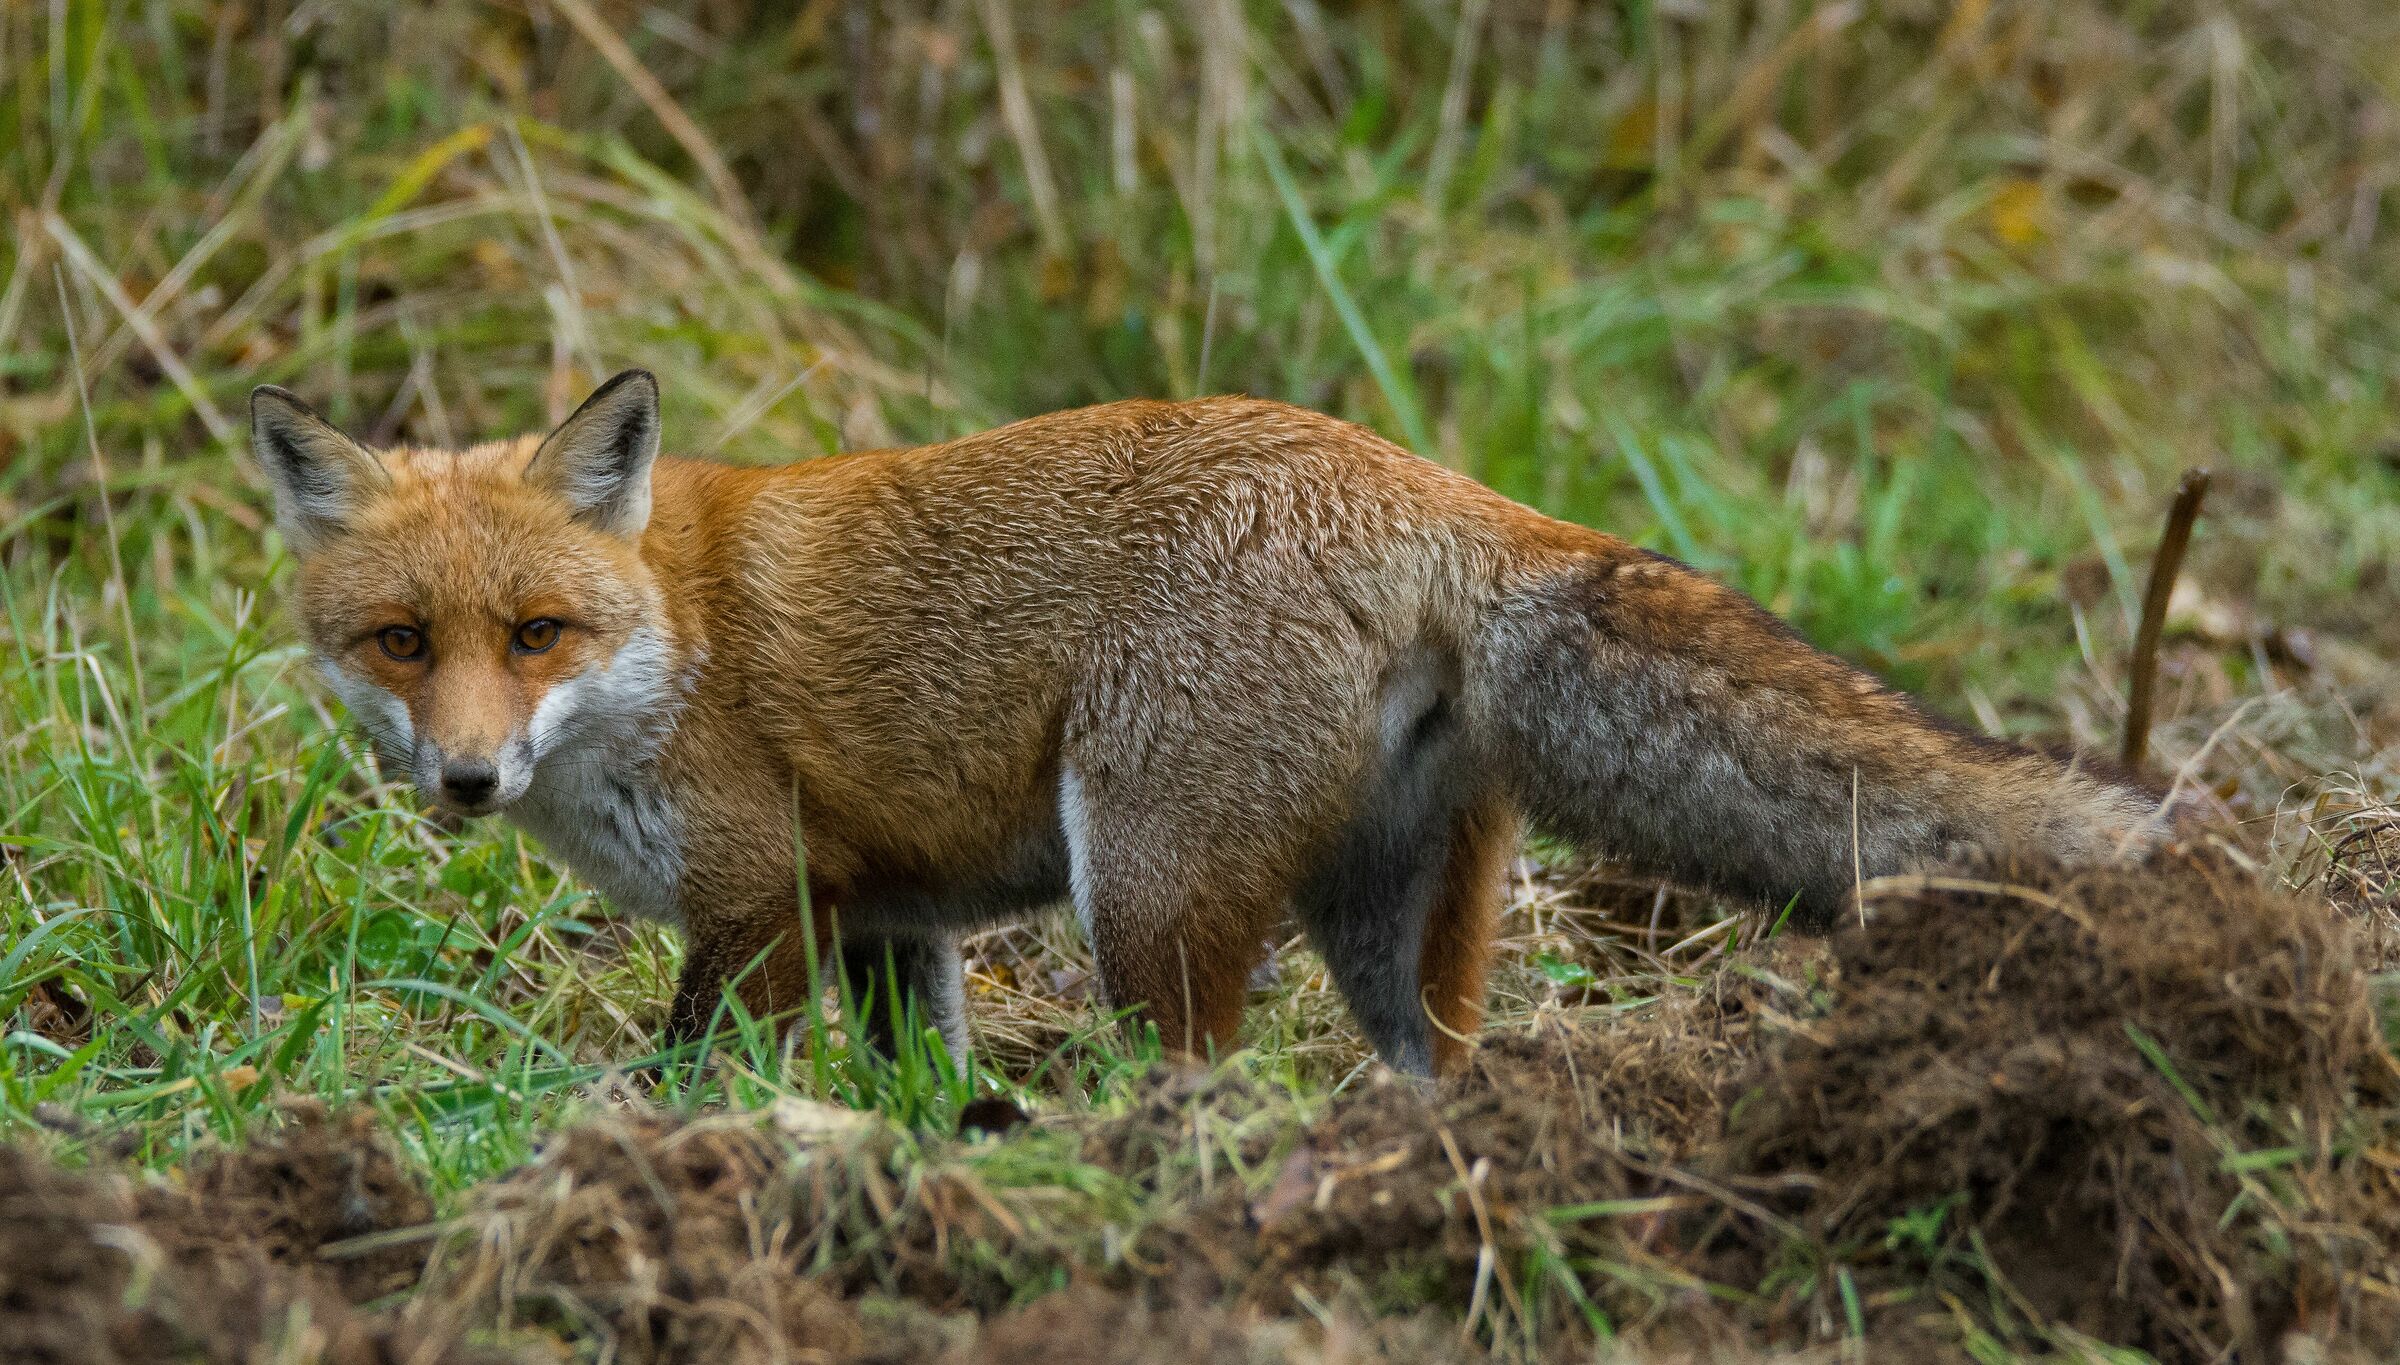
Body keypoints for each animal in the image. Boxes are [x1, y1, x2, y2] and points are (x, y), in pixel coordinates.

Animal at [250, 370, 2165, 1076]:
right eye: (403, 641)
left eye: (537, 633)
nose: (467, 778)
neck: (679, 635)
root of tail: (1437, 484)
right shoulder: (884, 924)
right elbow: (914, 1088)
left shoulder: (755, 905)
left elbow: (695, 1081)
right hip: (1391, 927)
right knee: (1433, 1081)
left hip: (1149, 890)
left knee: (1199, 1072)